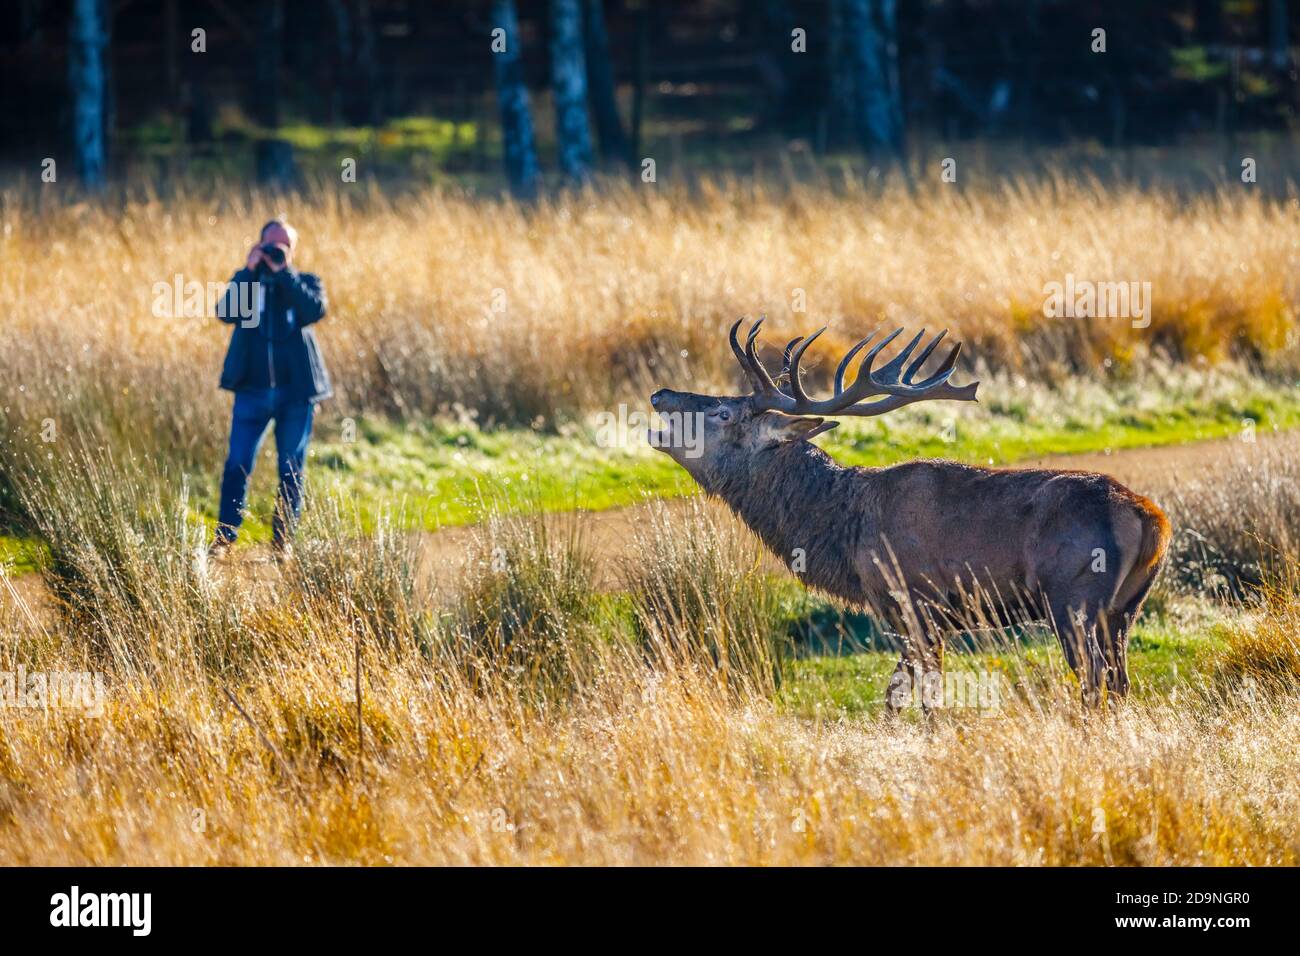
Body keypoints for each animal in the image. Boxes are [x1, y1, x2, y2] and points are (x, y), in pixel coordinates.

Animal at [649, 319, 1171, 710]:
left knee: (1094, 678)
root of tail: (1153, 520)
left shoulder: (916, 603)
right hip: (1125, 608)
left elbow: (925, 697)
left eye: (723, 413)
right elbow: (894, 695)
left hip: (1073, 596)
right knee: (1121, 680)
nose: (660, 394)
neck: (842, 534)